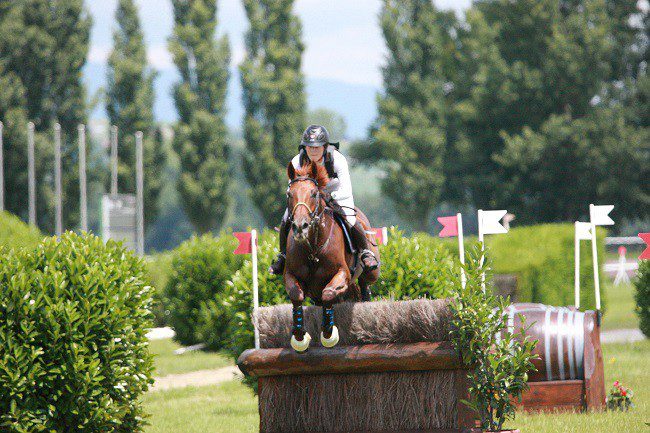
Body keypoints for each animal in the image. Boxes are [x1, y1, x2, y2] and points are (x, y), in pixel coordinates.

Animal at [284, 159, 380, 352]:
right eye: (290, 194)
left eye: (314, 194)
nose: (300, 227)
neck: (313, 249)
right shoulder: (290, 274)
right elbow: (296, 295)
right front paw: (299, 337)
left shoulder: (342, 274)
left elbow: (328, 293)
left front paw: (328, 334)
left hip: (372, 270)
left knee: (365, 281)